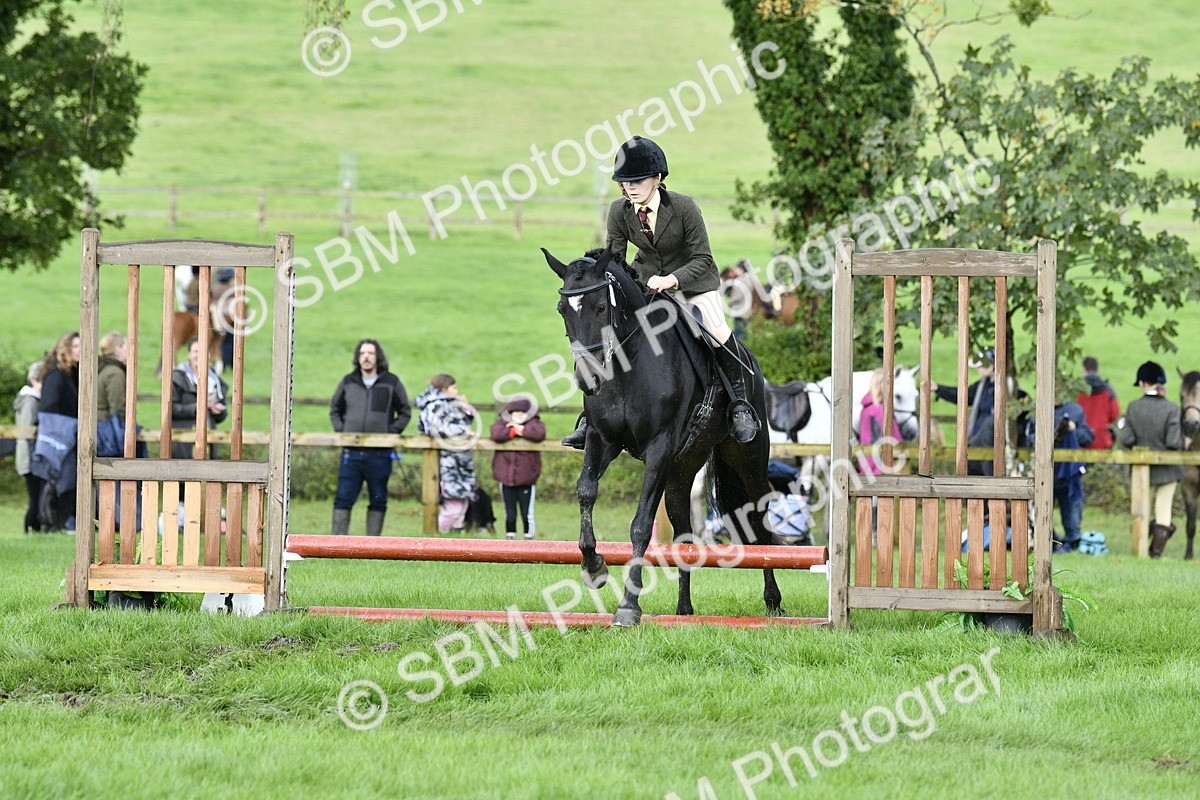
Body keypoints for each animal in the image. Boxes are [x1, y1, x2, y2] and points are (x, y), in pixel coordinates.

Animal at [545, 247, 786, 626]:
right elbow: (586, 490)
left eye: (599, 308)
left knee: (759, 524)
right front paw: (593, 566)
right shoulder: (602, 439)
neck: (627, 365)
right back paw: (684, 610)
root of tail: (751, 360)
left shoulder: (658, 448)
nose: (588, 380)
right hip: (681, 470)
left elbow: (641, 524)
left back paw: (773, 603)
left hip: (747, 460)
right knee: (684, 534)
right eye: (562, 310)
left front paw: (628, 607)